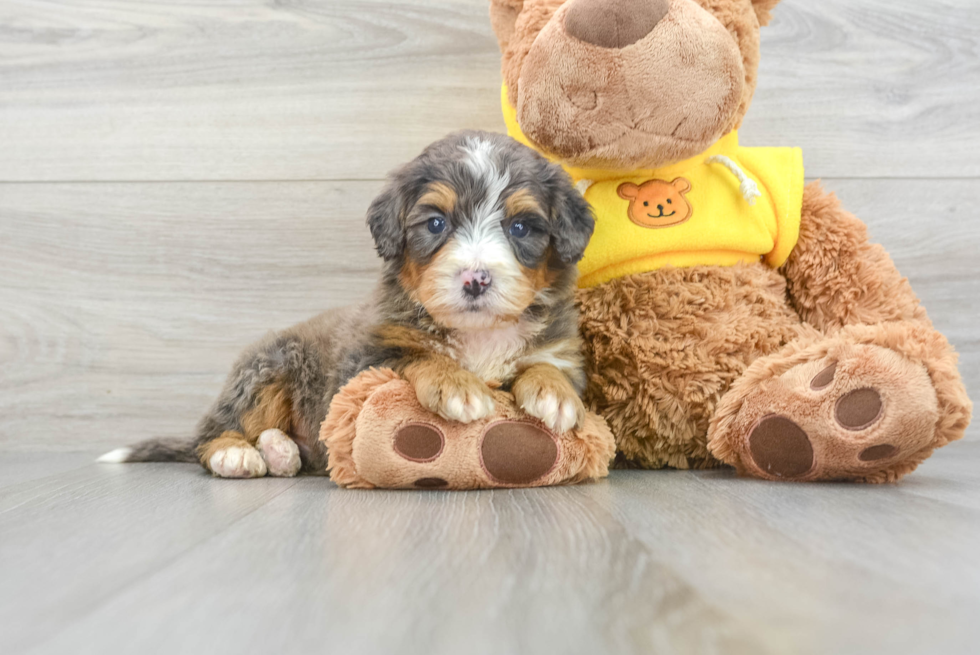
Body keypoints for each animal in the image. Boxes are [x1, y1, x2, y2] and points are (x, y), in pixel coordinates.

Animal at [105, 131, 596, 480]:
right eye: (436, 223)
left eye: (520, 227)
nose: (475, 279)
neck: (477, 334)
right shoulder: (367, 358)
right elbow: (417, 355)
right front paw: (456, 384)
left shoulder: (560, 350)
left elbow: (546, 365)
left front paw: (553, 393)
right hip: (268, 368)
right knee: (213, 432)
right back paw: (236, 454)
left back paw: (280, 452)